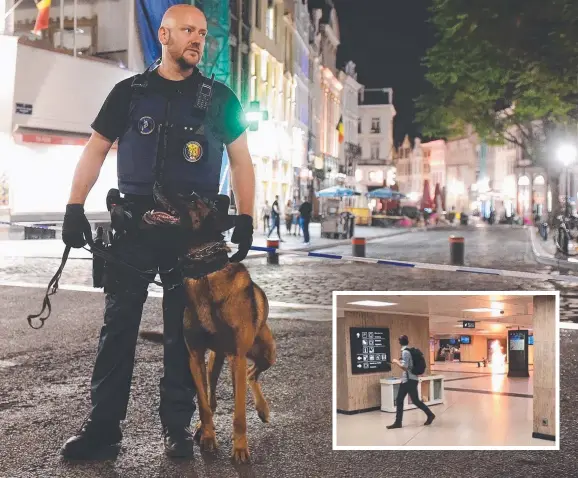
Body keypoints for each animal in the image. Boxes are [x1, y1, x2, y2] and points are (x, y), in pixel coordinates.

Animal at [140, 185, 274, 464]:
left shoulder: (237, 357)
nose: (157, 182)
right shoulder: (195, 356)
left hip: (266, 353)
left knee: (251, 375)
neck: (205, 273)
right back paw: (204, 428)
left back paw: (263, 410)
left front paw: (240, 448)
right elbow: (202, 403)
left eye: (192, 199)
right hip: (214, 363)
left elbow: (239, 413)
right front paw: (209, 437)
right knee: (213, 397)